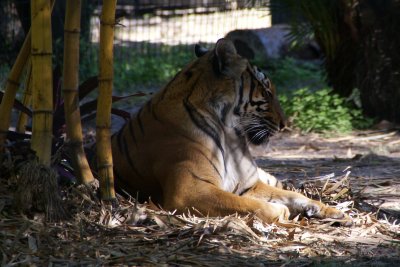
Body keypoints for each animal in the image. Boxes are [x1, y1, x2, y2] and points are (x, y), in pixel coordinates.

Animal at [111, 38, 352, 226]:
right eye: (266, 92)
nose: (285, 124)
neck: (230, 135)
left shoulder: (249, 184)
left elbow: (291, 195)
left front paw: (325, 210)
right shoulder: (189, 189)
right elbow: (249, 204)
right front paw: (281, 212)